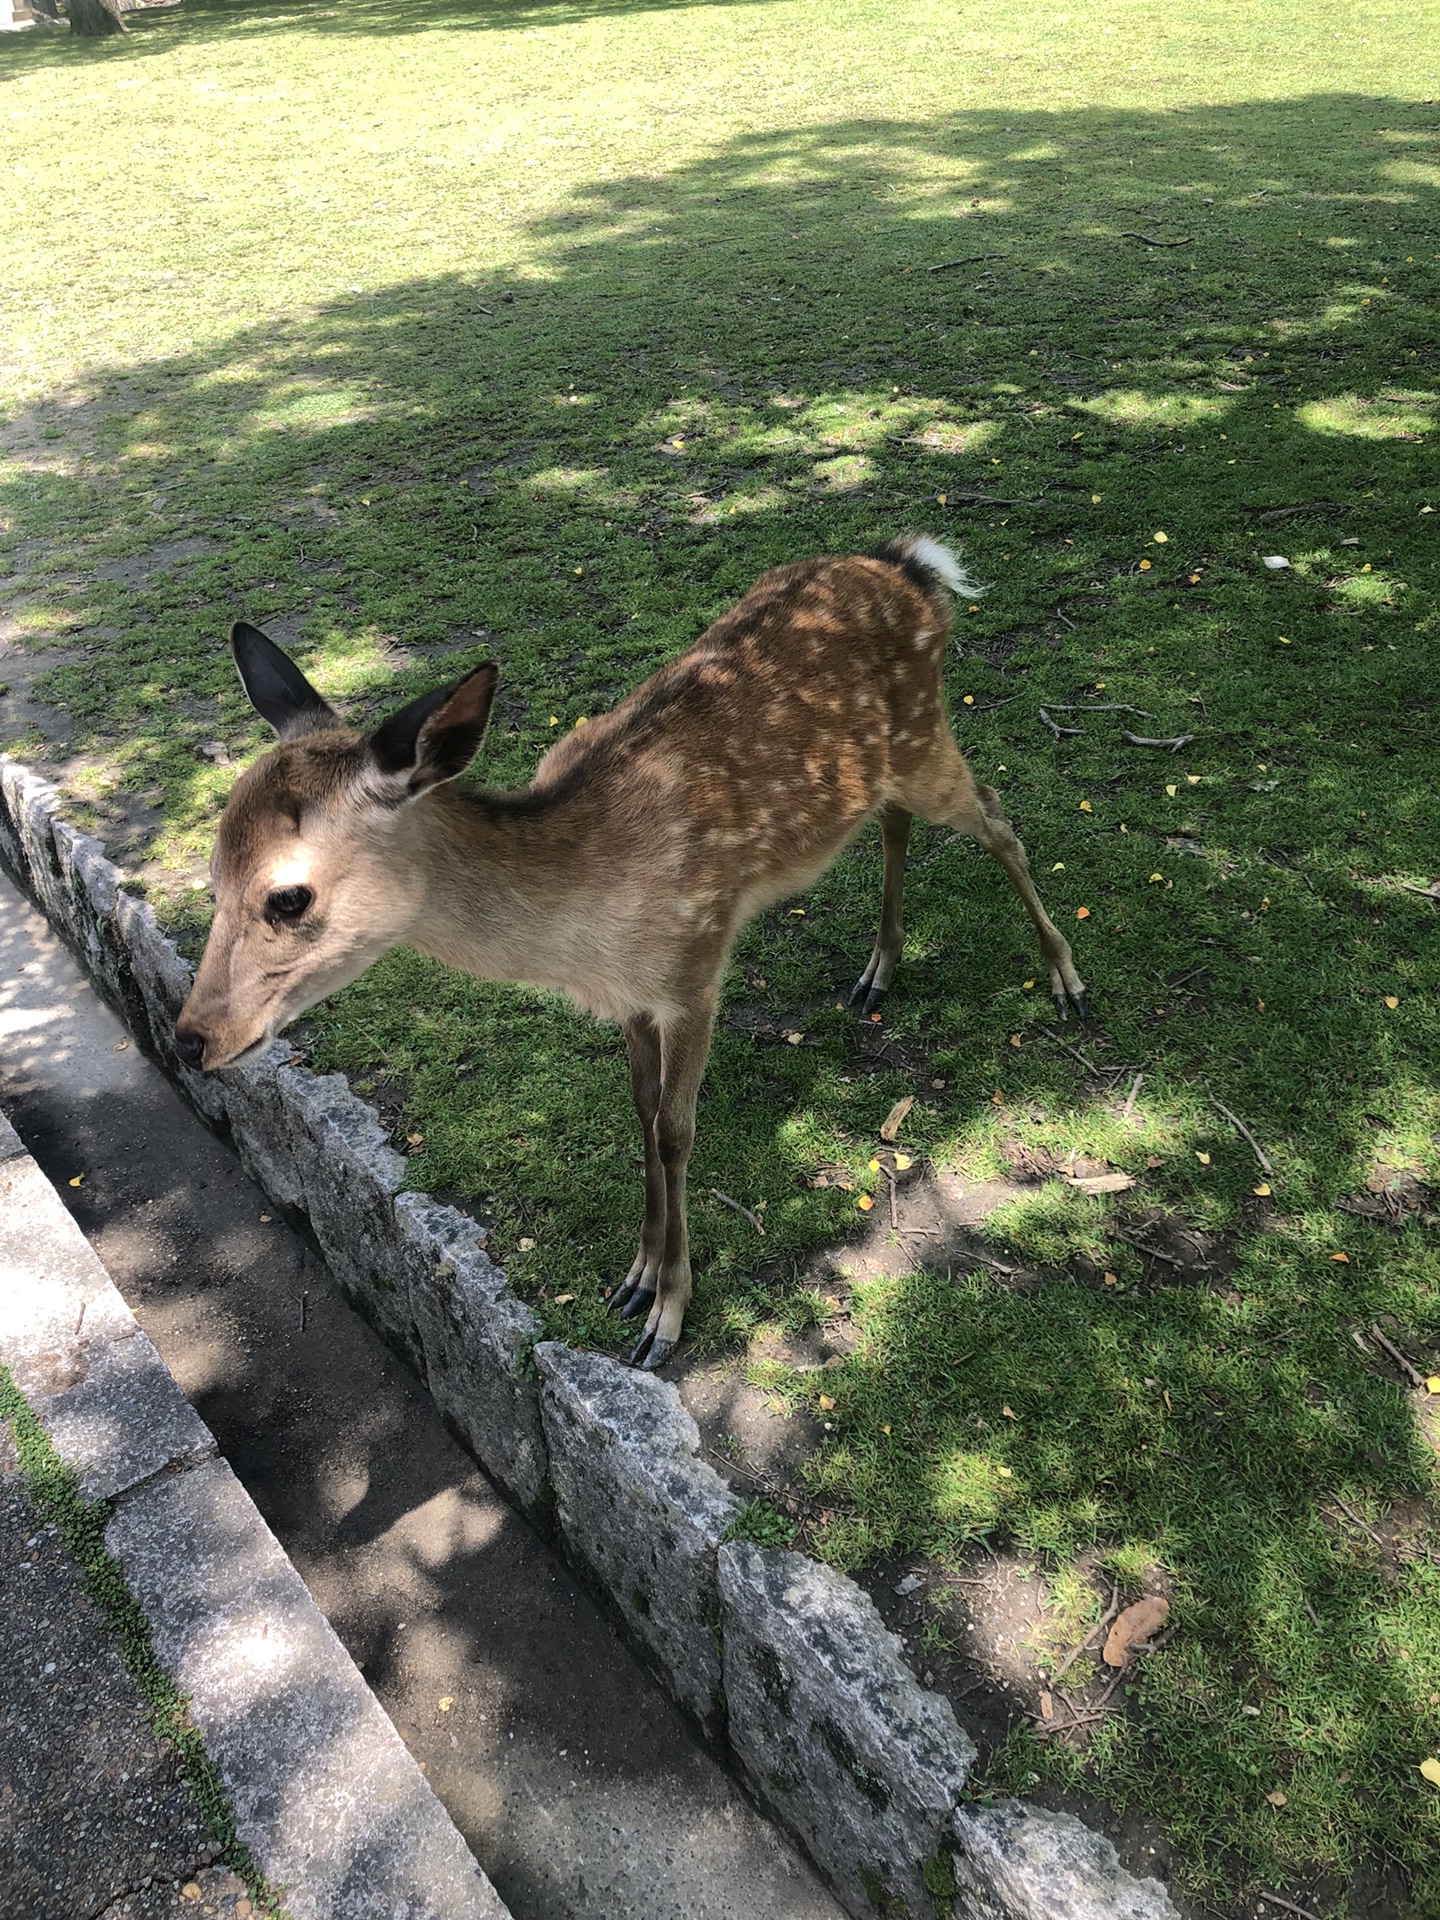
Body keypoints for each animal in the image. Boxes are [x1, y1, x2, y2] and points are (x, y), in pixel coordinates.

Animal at [174, 537, 1090, 1367]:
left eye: (289, 896)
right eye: (211, 876)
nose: (189, 1038)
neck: (586, 928)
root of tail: (911, 566)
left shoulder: (693, 966)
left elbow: (678, 1130)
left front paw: (667, 1318)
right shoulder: (630, 999)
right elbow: (642, 1116)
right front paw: (636, 1277)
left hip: (925, 734)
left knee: (998, 817)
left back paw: (1065, 979)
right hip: (888, 763)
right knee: (897, 820)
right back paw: (879, 970)